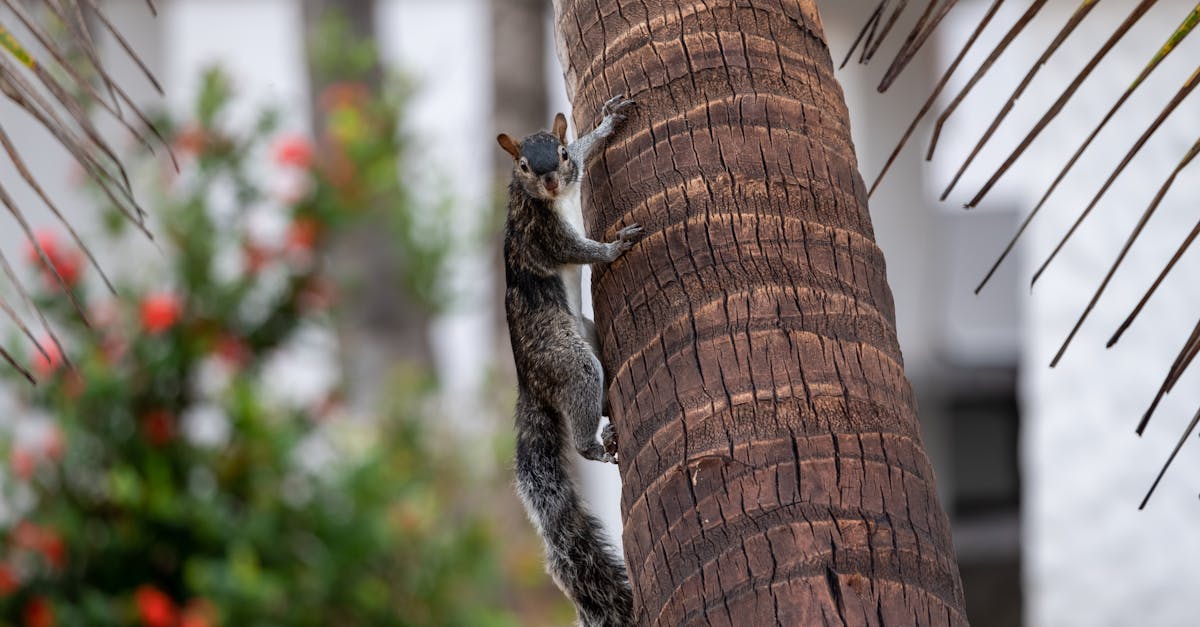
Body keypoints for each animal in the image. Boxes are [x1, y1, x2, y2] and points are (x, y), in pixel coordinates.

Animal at [497, 94, 640, 627]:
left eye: (559, 153)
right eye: (522, 165)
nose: (553, 182)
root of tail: (530, 384)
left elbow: (589, 147)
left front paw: (607, 122)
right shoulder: (544, 234)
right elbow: (581, 250)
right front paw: (616, 245)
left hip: (591, 337)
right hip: (568, 360)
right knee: (579, 425)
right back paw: (596, 445)